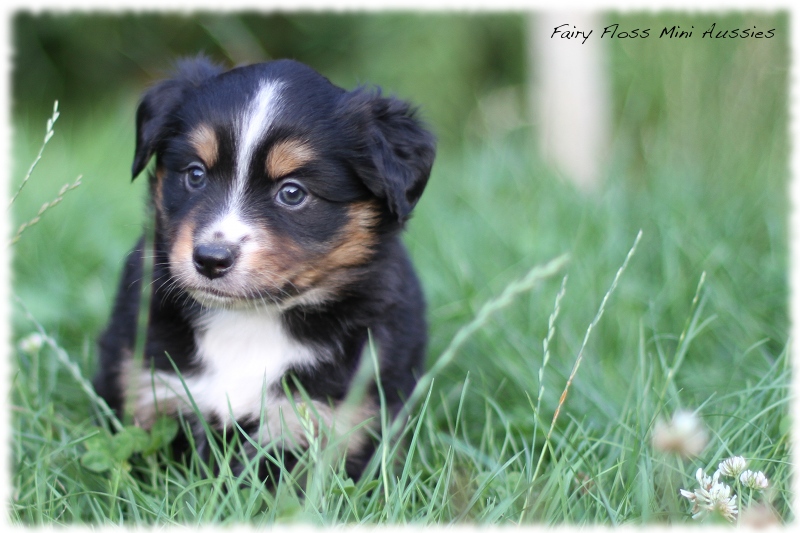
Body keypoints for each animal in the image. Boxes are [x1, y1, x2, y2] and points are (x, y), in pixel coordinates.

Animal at [94, 57, 438, 478]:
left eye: (292, 193)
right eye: (195, 174)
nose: (210, 259)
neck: (249, 320)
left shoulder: (340, 426)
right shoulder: (144, 389)